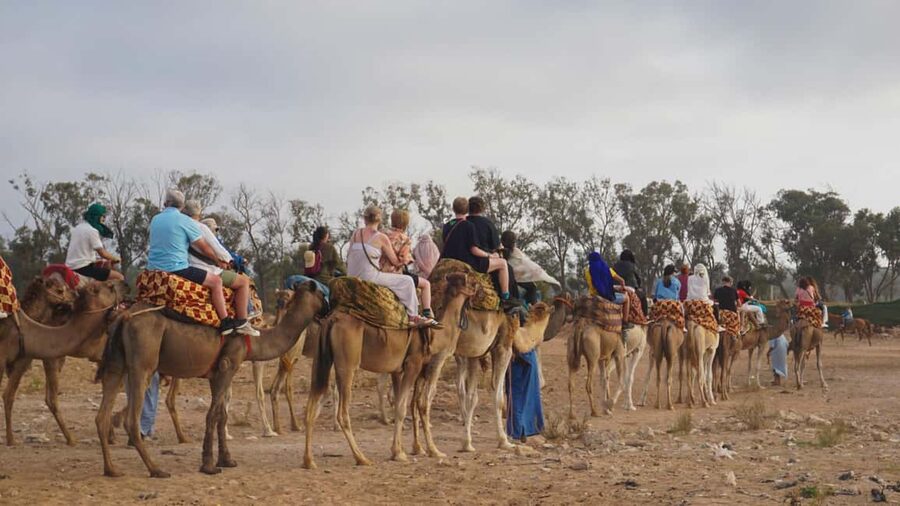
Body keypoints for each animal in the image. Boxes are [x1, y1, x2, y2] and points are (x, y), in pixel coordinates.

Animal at [95, 280, 326, 478]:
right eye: (322, 294)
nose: (328, 309)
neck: (256, 340)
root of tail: (124, 317)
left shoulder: (216, 374)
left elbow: (221, 415)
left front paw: (227, 460)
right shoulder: (228, 365)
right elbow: (212, 415)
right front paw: (208, 465)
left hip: (117, 365)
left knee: (101, 416)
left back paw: (111, 469)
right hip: (142, 364)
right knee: (132, 420)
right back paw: (156, 469)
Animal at [302, 272, 477, 469]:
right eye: (468, 279)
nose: (478, 284)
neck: (436, 335)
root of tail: (332, 320)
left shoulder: (401, 371)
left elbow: (409, 405)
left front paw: (409, 450)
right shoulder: (416, 364)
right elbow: (410, 407)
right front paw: (426, 451)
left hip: (323, 360)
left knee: (313, 404)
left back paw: (309, 461)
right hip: (348, 363)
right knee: (343, 412)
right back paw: (361, 458)